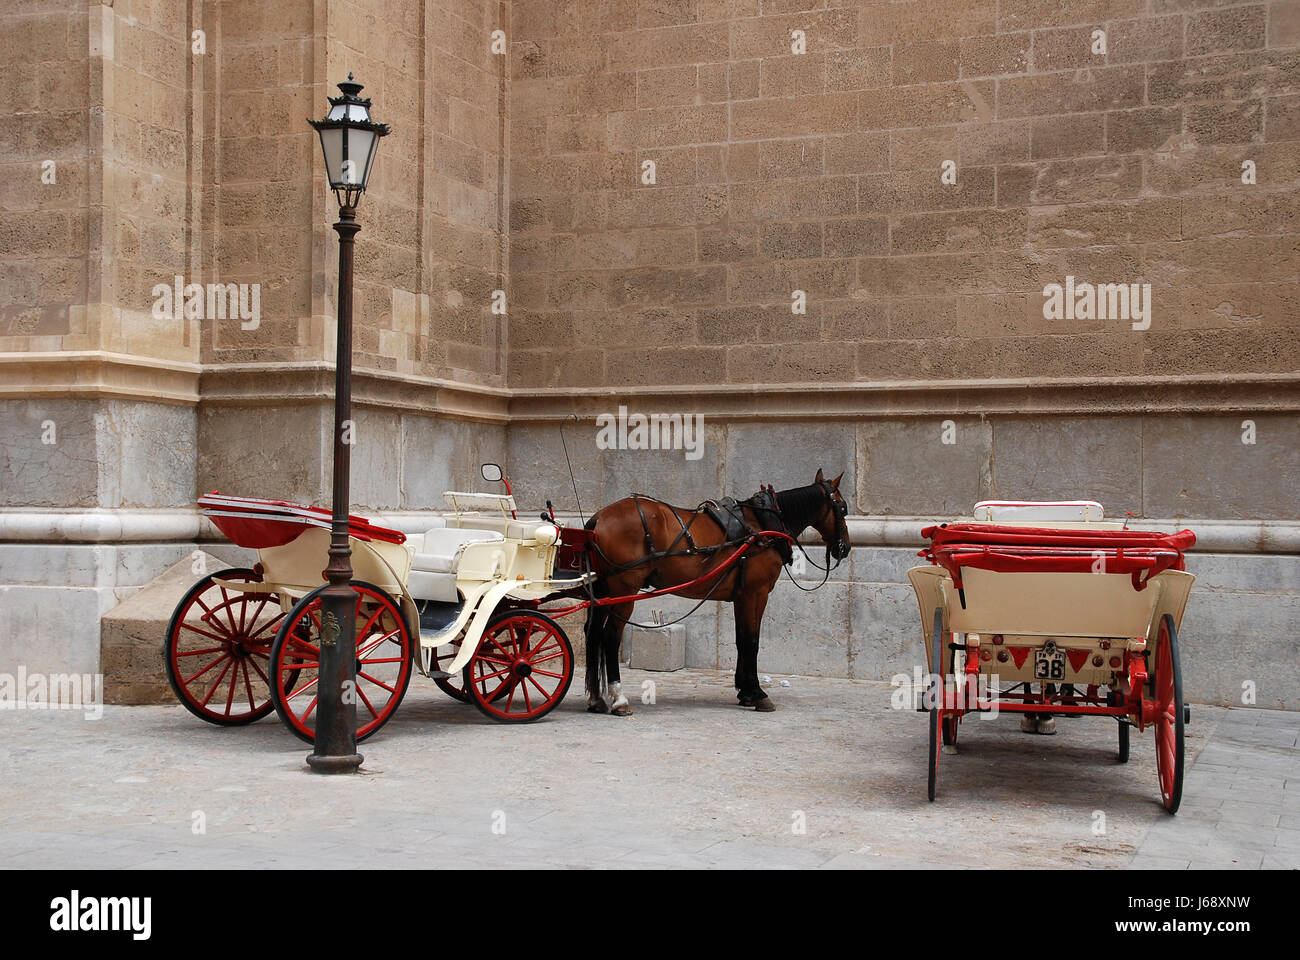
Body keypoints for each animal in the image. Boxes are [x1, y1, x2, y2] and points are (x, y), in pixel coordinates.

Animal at [582, 468, 847, 712]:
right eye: (843, 508)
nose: (844, 548)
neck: (762, 526)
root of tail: (599, 518)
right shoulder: (756, 593)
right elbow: (752, 641)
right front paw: (757, 693)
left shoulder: (742, 596)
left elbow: (741, 640)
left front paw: (745, 692)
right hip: (622, 590)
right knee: (610, 637)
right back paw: (619, 698)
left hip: (605, 593)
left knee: (593, 633)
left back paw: (596, 699)